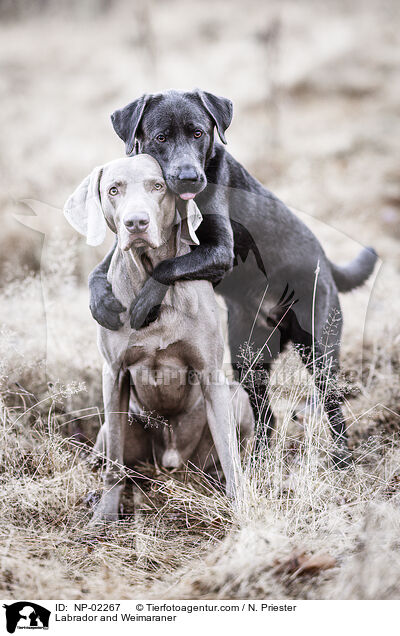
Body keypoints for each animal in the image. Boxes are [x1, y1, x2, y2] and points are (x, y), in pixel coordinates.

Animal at [65, 153, 253, 520]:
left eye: (157, 186)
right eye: (113, 190)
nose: (136, 223)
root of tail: (170, 460)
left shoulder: (211, 374)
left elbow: (229, 452)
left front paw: (240, 507)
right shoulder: (114, 374)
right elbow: (114, 461)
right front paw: (105, 514)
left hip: (236, 398)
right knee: (108, 452)